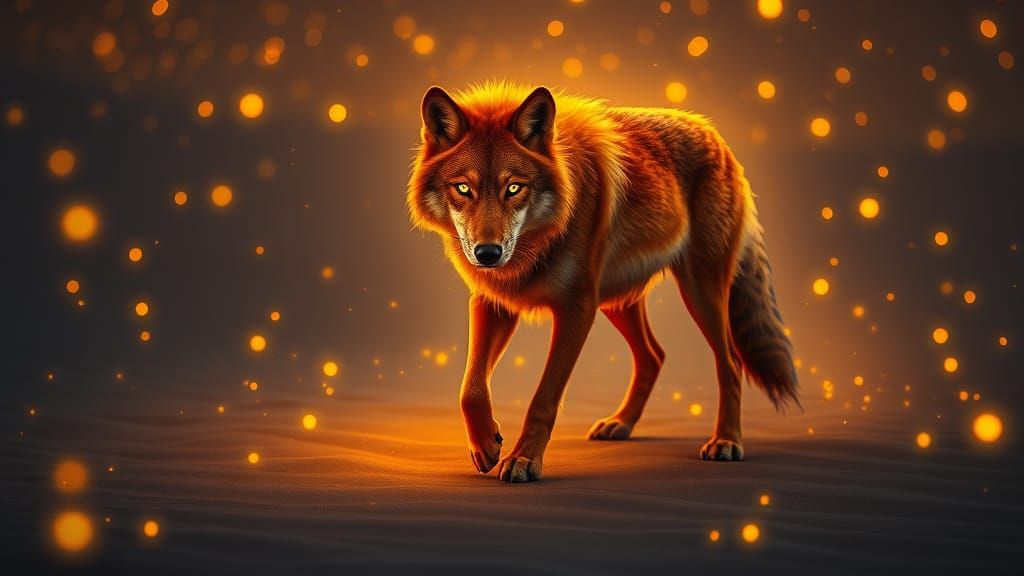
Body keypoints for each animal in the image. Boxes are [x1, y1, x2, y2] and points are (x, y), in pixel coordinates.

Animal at [408, 82, 798, 482]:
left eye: (514, 188)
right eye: (463, 189)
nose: (488, 253)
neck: (537, 243)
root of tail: (717, 136)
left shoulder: (577, 309)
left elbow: (543, 398)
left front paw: (523, 459)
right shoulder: (492, 301)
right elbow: (470, 388)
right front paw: (485, 445)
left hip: (700, 292)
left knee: (730, 362)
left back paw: (726, 442)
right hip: (617, 302)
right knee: (654, 356)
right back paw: (620, 424)